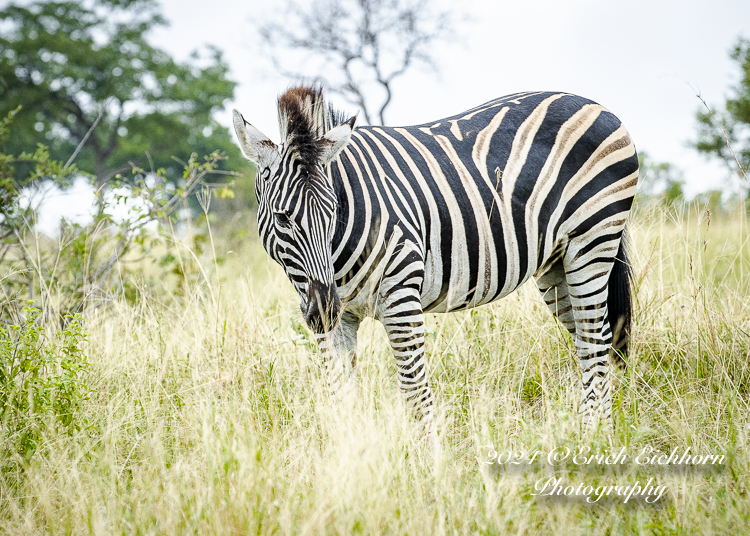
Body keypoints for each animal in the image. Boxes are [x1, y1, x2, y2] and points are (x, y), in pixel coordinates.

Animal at [235, 87, 640, 432]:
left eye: (334, 210)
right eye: (283, 218)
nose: (322, 310)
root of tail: (596, 105)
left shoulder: (400, 293)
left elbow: (415, 393)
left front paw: (428, 463)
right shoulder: (340, 316)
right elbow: (341, 395)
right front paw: (349, 455)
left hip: (592, 240)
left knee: (596, 339)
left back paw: (592, 435)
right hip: (557, 264)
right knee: (593, 342)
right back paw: (596, 434)